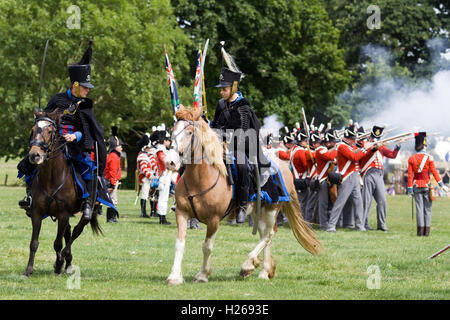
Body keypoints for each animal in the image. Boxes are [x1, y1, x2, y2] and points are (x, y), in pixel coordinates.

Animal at [23, 109, 102, 276]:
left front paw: (59, 264)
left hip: (83, 213)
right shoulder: (37, 213)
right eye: (33, 130)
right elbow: (34, 243)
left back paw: (65, 262)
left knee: (76, 231)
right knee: (69, 232)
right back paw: (68, 262)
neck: (51, 177)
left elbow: (58, 244)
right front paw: (28, 270)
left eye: (50, 131)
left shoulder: (63, 214)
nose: (34, 155)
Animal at [165, 106, 324, 284]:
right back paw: (264, 271)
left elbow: (207, 247)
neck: (200, 178)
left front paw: (203, 274)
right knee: (264, 234)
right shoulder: (182, 213)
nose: (170, 162)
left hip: (272, 209)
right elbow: (179, 244)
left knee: (268, 235)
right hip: (257, 211)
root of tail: (283, 166)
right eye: (173, 131)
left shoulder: (213, 220)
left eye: (189, 132)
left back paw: (249, 265)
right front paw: (174, 276)